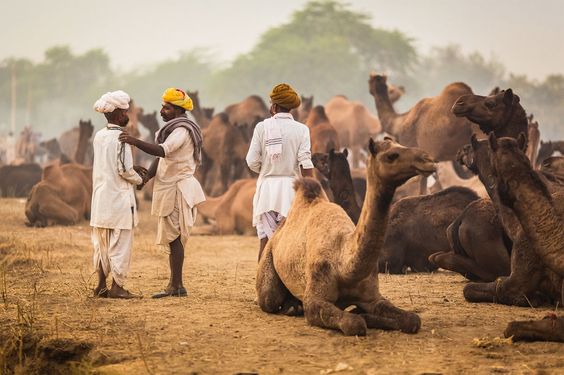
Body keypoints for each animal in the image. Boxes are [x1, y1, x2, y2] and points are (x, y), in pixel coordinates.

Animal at [256, 139, 436, 338]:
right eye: (391, 155)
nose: (428, 159)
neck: (343, 263)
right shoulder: (314, 300)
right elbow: (353, 323)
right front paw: (359, 316)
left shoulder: (373, 297)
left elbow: (412, 319)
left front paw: (362, 313)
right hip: (268, 268)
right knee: (270, 299)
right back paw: (290, 307)